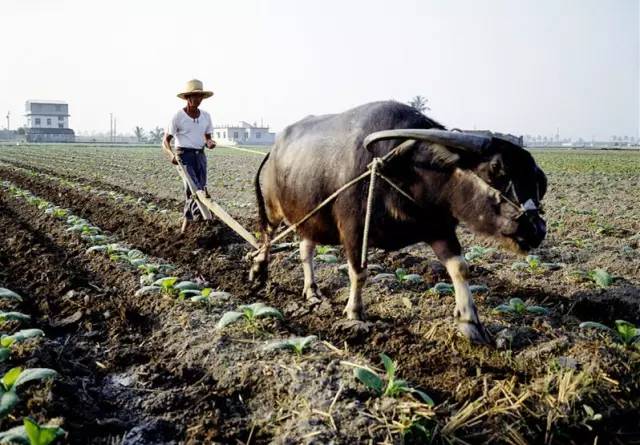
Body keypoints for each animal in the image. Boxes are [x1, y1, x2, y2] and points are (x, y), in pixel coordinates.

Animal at [249, 100, 544, 344]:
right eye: (496, 170)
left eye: (539, 180)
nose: (536, 229)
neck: (407, 169)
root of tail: (274, 150)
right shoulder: (354, 231)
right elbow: (359, 272)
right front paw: (354, 312)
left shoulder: (439, 228)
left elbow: (460, 268)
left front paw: (470, 322)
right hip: (274, 208)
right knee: (266, 237)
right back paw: (258, 270)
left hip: (309, 218)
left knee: (305, 250)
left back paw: (312, 291)